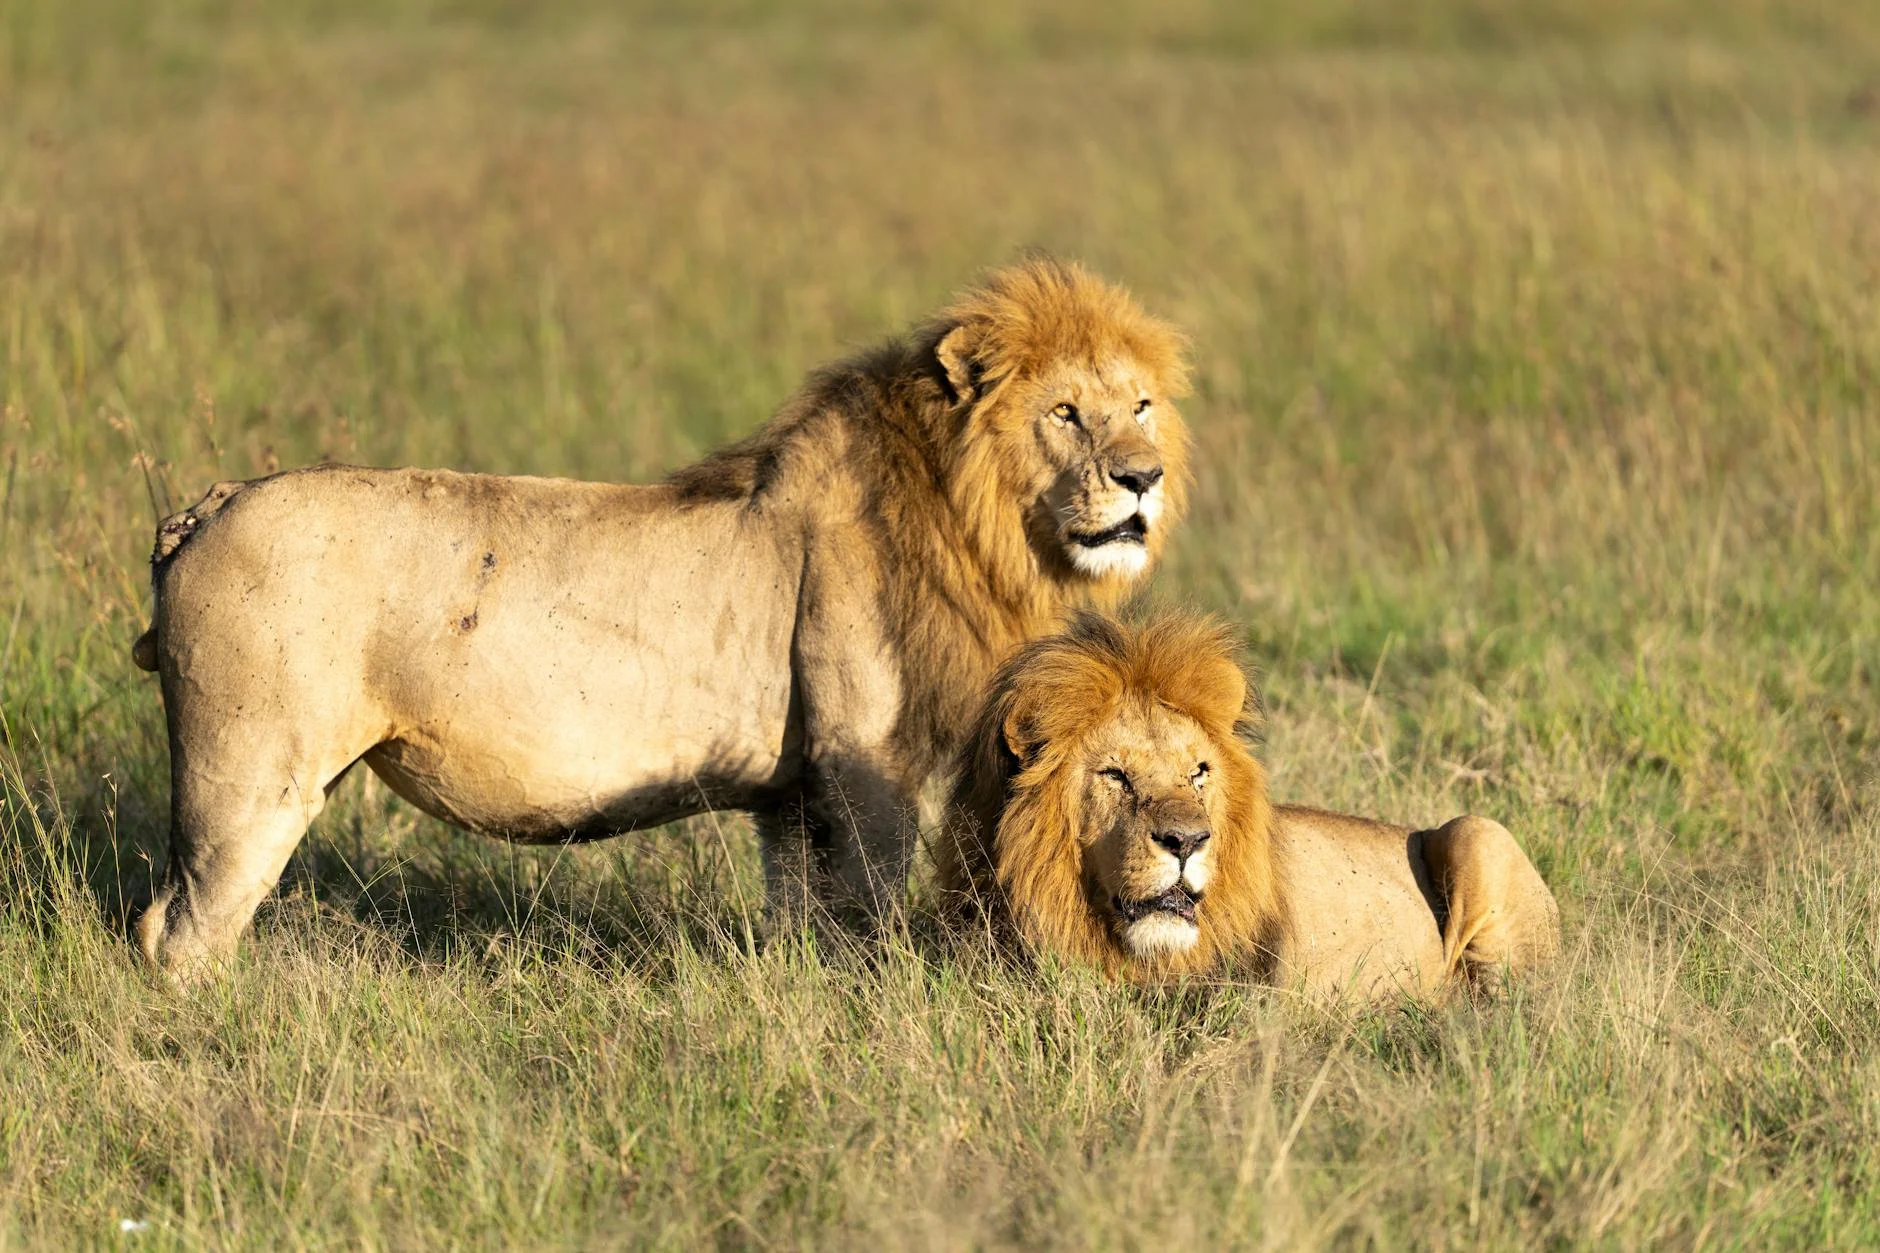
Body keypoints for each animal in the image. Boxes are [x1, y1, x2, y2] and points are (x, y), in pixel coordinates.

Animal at [130, 259, 1192, 974]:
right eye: (1066, 412)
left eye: (1140, 405)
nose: (1143, 477)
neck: (970, 514)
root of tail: (205, 507)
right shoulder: (865, 765)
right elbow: (872, 918)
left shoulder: (794, 795)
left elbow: (805, 921)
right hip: (249, 776)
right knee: (175, 930)